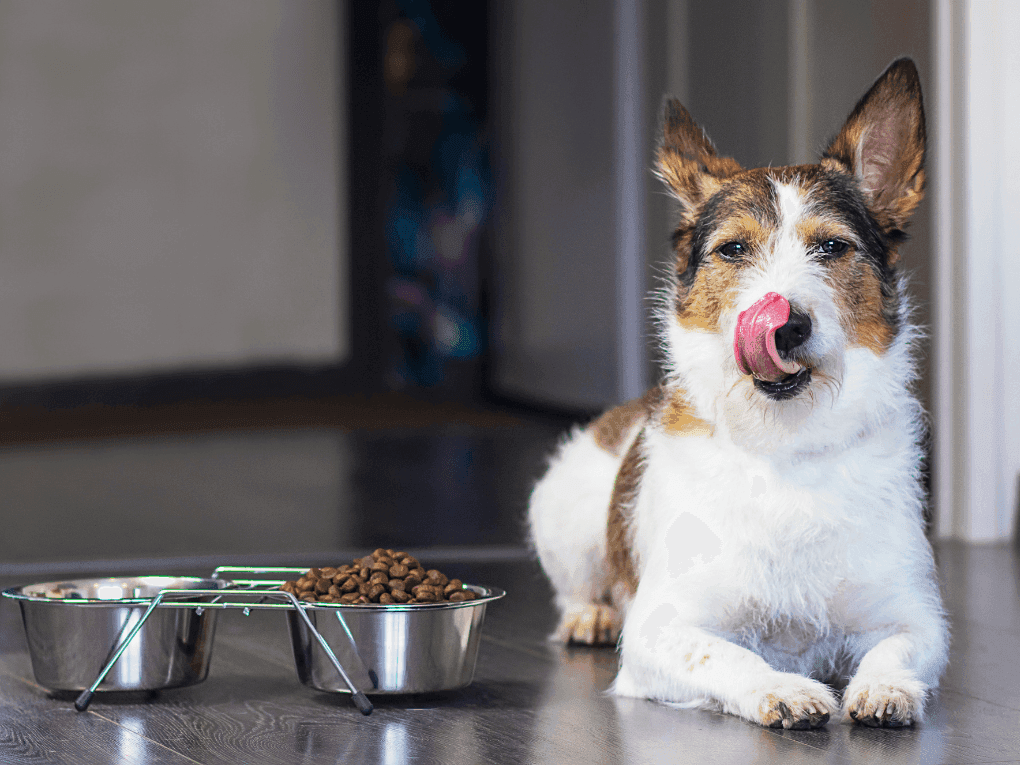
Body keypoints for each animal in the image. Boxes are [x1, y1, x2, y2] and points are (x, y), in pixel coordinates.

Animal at [526, 59, 946, 730]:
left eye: (833, 247)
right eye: (733, 249)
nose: (786, 325)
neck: (786, 444)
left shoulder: (914, 615)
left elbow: (898, 648)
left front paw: (885, 688)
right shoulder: (659, 631)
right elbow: (728, 655)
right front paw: (784, 689)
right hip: (563, 512)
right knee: (575, 589)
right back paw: (590, 615)